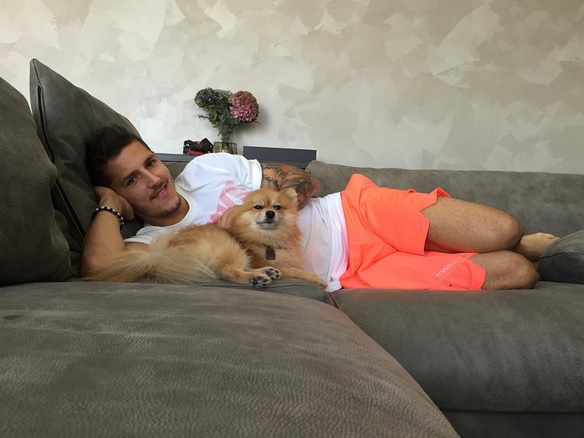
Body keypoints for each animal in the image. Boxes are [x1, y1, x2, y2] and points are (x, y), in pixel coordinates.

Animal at [84, 188, 325, 288]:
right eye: (258, 207)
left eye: (278, 207)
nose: (270, 213)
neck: (269, 238)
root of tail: (161, 256)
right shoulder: (267, 258)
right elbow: (296, 271)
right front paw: (318, 278)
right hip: (230, 247)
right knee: (227, 271)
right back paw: (257, 278)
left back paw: (268, 272)